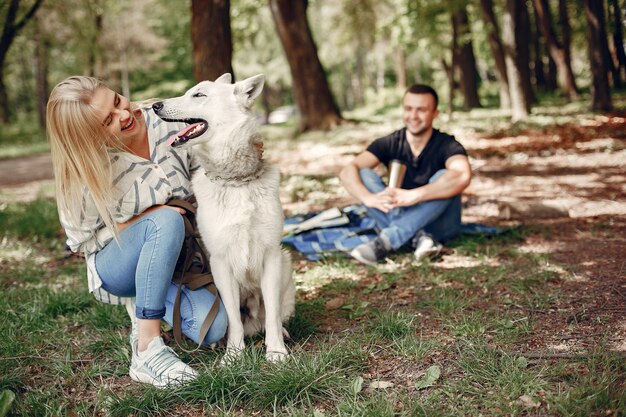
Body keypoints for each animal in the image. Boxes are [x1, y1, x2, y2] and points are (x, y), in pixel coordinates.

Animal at [153, 75, 294, 360]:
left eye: (198, 95)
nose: (155, 105)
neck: (235, 181)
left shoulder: (271, 256)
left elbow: (272, 313)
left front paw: (276, 352)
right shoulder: (220, 263)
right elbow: (233, 320)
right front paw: (233, 356)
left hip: (286, 263)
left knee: (272, 315)